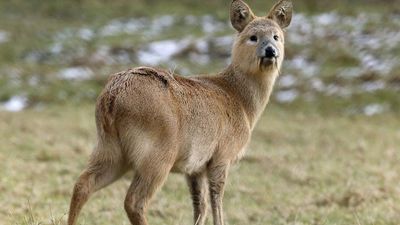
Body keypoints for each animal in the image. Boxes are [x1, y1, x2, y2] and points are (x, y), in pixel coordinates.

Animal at [69, 0, 292, 225]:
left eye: (276, 36)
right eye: (253, 37)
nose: (271, 51)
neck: (241, 101)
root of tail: (112, 97)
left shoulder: (194, 167)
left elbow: (199, 204)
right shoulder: (222, 154)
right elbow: (216, 199)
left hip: (109, 147)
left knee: (83, 184)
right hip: (156, 153)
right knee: (133, 201)